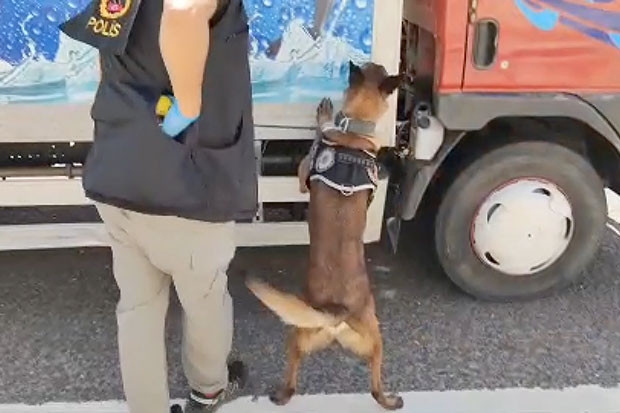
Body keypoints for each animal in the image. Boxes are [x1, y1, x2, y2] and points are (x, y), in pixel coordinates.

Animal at [246, 61, 404, 410]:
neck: (354, 133)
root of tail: (336, 313)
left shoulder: (303, 174)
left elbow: (319, 139)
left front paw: (325, 117)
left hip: (298, 332)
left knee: (292, 377)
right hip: (375, 340)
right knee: (373, 384)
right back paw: (388, 398)